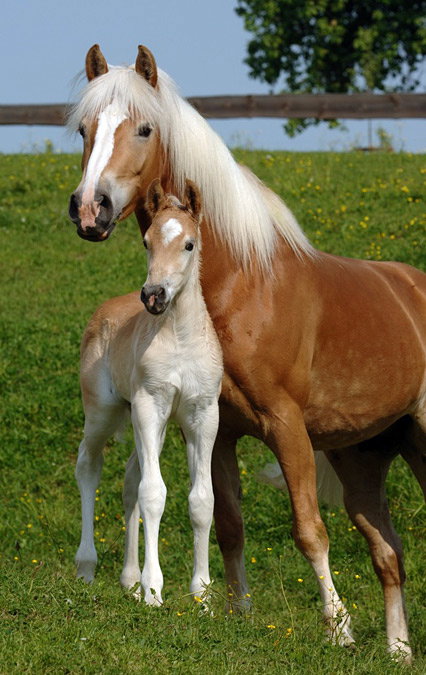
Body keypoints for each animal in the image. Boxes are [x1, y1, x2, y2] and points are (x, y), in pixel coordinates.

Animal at [75, 178, 223, 606]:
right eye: (146, 241)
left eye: (189, 244)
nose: (154, 295)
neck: (180, 339)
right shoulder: (148, 405)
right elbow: (154, 494)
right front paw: (154, 589)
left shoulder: (203, 414)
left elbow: (201, 500)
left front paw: (202, 594)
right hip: (104, 412)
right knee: (89, 466)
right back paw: (86, 569)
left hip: (150, 427)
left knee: (129, 482)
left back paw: (127, 579)